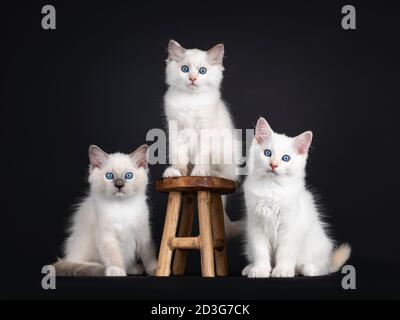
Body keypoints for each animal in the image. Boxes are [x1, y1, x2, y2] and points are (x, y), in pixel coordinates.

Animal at [54, 144, 157, 276]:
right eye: (109, 176)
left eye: (128, 176)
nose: (119, 185)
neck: (122, 206)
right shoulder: (106, 235)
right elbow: (113, 255)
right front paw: (116, 270)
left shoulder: (143, 232)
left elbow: (148, 253)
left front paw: (155, 269)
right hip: (85, 245)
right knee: (74, 263)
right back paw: (102, 268)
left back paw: (133, 268)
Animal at [162, 39, 241, 238]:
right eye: (184, 69)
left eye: (202, 71)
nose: (192, 78)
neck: (191, 101)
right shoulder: (176, 129)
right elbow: (178, 156)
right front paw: (177, 171)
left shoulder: (205, 130)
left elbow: (201, 156)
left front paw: (199, 172)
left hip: (226, 151)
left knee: (225, 175)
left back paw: (209, 173)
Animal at [241, 117, 350, 278]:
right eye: (267, 153)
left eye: (286, 158)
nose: (273, 165)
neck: (272, 188)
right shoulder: (256, 226)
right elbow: (260, 252)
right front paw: (260, 270)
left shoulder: (289, 228)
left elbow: (285, 253)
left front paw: (282, 270)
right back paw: (250, 267)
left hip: (317, 246)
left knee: (320, 267)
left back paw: (308, 268)